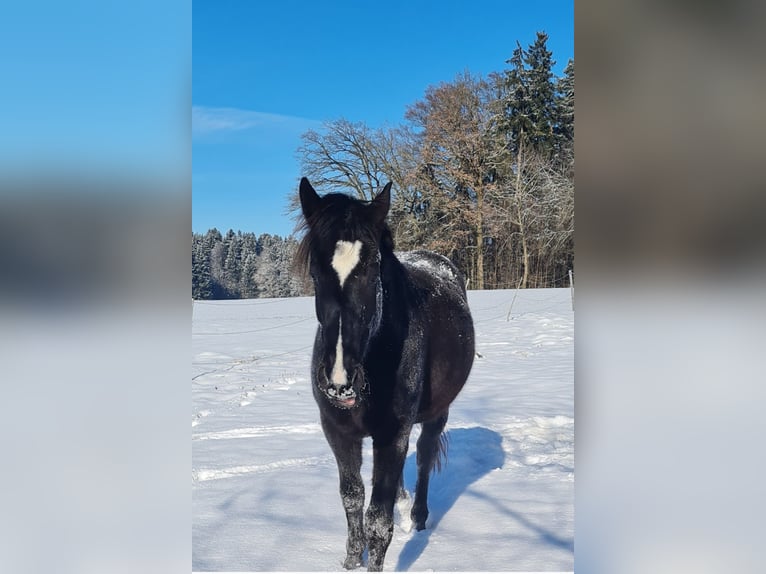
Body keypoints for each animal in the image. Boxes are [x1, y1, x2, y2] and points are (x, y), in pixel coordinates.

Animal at [296, 177, 475, 571]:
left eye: (370, 269)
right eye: (316, 271)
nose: (339, 382)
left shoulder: (393, 435)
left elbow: (378, 520)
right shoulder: (338, 432)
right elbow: (352, 499)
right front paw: (350, 561)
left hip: (436, 414)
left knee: (423, 457)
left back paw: (418, 518)